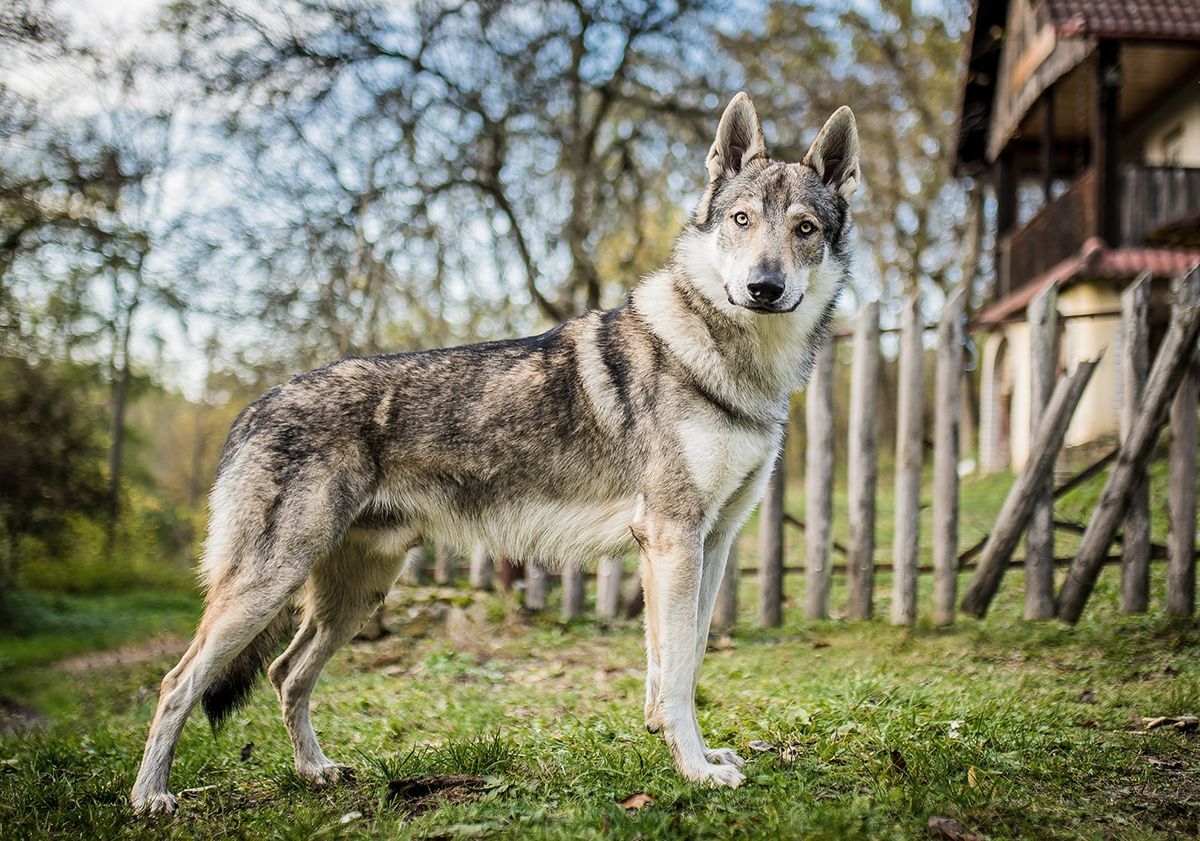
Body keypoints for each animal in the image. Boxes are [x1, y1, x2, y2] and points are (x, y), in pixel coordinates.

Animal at [130, 92, 859, 814]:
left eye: (804, 229)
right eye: (741, 220)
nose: (764, 287)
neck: (728, 360)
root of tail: (250, 408)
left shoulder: (711, 542)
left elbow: (684, 661)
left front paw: (693, 752)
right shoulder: (673, 539)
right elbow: (679, 673)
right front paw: (697, 771)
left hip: (356, 593)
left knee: (286, 673)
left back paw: (316, 771)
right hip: (272, 583)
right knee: (177, 681)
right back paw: (151, 797)